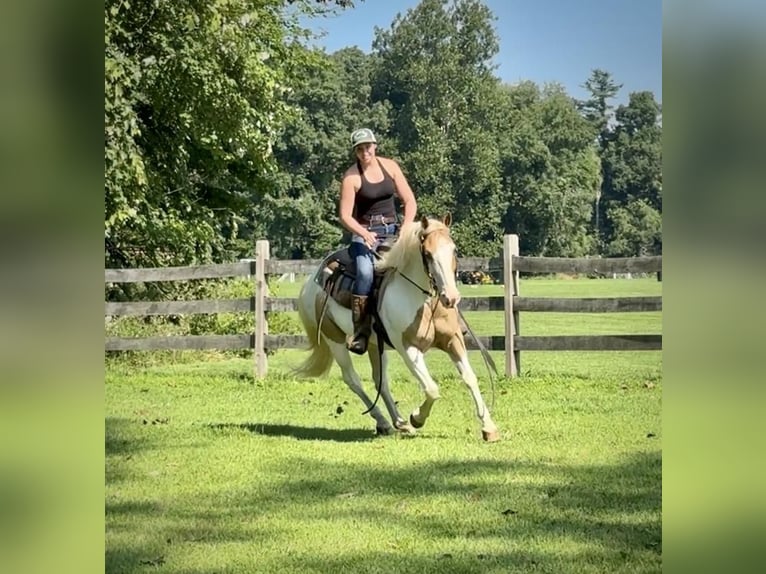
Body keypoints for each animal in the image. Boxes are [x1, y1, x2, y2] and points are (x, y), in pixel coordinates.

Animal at [296, 214, 504, 444]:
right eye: (427, 254)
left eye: (454, 250)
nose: (450, 297)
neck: (423, 299)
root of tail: (310, 282)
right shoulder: (408, 348)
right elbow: (432, 389)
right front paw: (417, 418)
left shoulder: (453, 340)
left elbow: (470, 378)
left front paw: (489, 428)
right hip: (335, 339)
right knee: (352, 379)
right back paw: (385, 421)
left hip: (373, 345)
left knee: (381, 380)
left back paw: (398, 423)